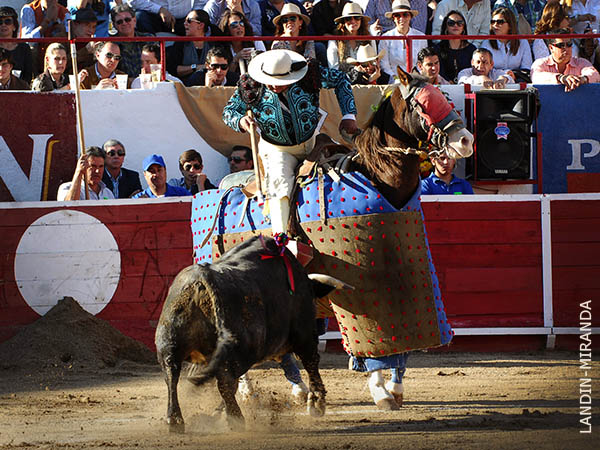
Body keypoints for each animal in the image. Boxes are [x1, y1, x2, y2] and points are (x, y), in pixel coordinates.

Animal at [155, 236, 352, 432]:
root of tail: (201, 279)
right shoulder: (305, 335)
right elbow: (312, 364)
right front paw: (317, 404)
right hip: (242, 352)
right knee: (225, 381)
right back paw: (235, 419)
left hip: (169, 344)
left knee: (172, 376)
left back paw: (176, 420)